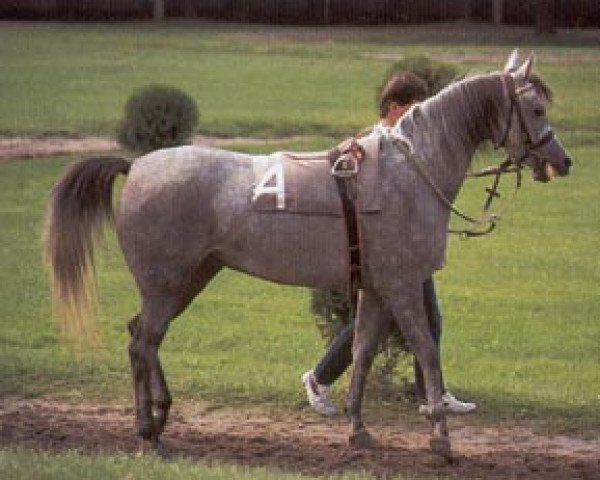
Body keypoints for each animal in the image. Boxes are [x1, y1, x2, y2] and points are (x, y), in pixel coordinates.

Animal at [43, 50, 572, 460]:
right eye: (536, 109)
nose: (562, 161)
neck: (407, 172)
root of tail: (136, 166)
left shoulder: (376, 289)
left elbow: (362, 351)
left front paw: (359, 429)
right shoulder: (402, 284)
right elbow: (425, 349)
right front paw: (440, 437)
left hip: (190, 279)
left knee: (144, 338)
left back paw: (161, 412)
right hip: (166, 283)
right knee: (142, 343)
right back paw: (149, 433)